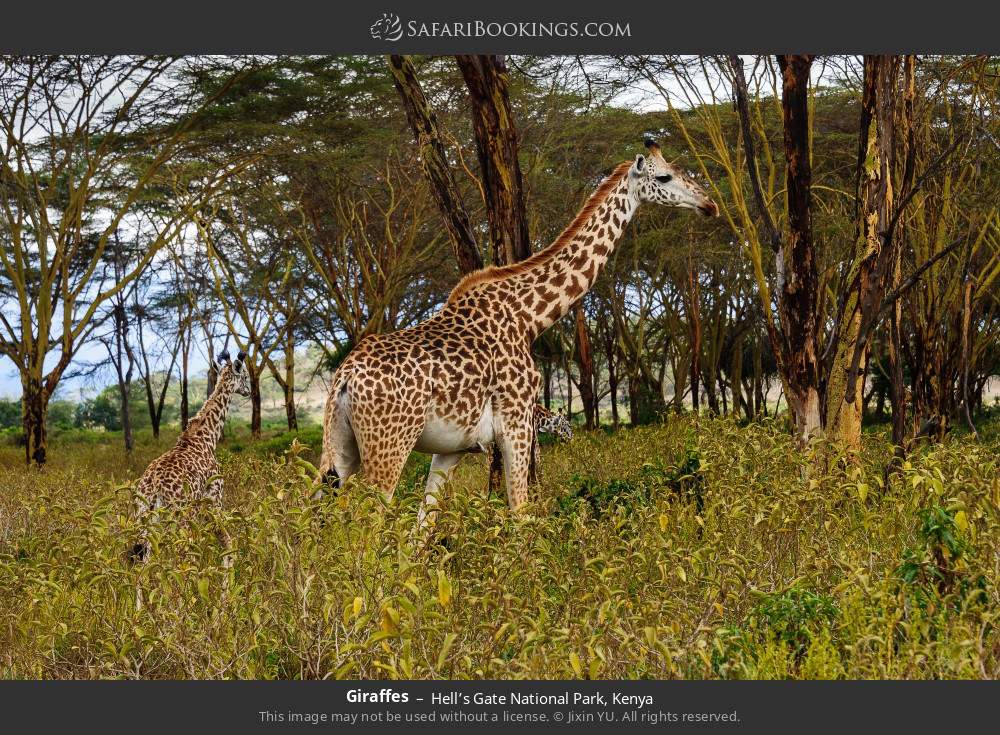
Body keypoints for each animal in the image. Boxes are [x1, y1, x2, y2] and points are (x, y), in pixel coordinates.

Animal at [131, 350, 250, 564]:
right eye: (244, 375)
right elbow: (228, 543)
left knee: (145, 560)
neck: (208, 437)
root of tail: (155, 487)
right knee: (183, 556)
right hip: (181, 516)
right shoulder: (213, 499)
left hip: (143, 518)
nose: (249, 391)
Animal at [320, 139, 720, 528]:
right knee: (365, 525)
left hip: (338, 447)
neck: (530, 317)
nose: (709, 204)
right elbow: (520, 511)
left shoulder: (453, 447)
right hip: (389, 446)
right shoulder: (516, 422)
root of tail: (345, 377)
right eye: (665, 177)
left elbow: (424, 526)